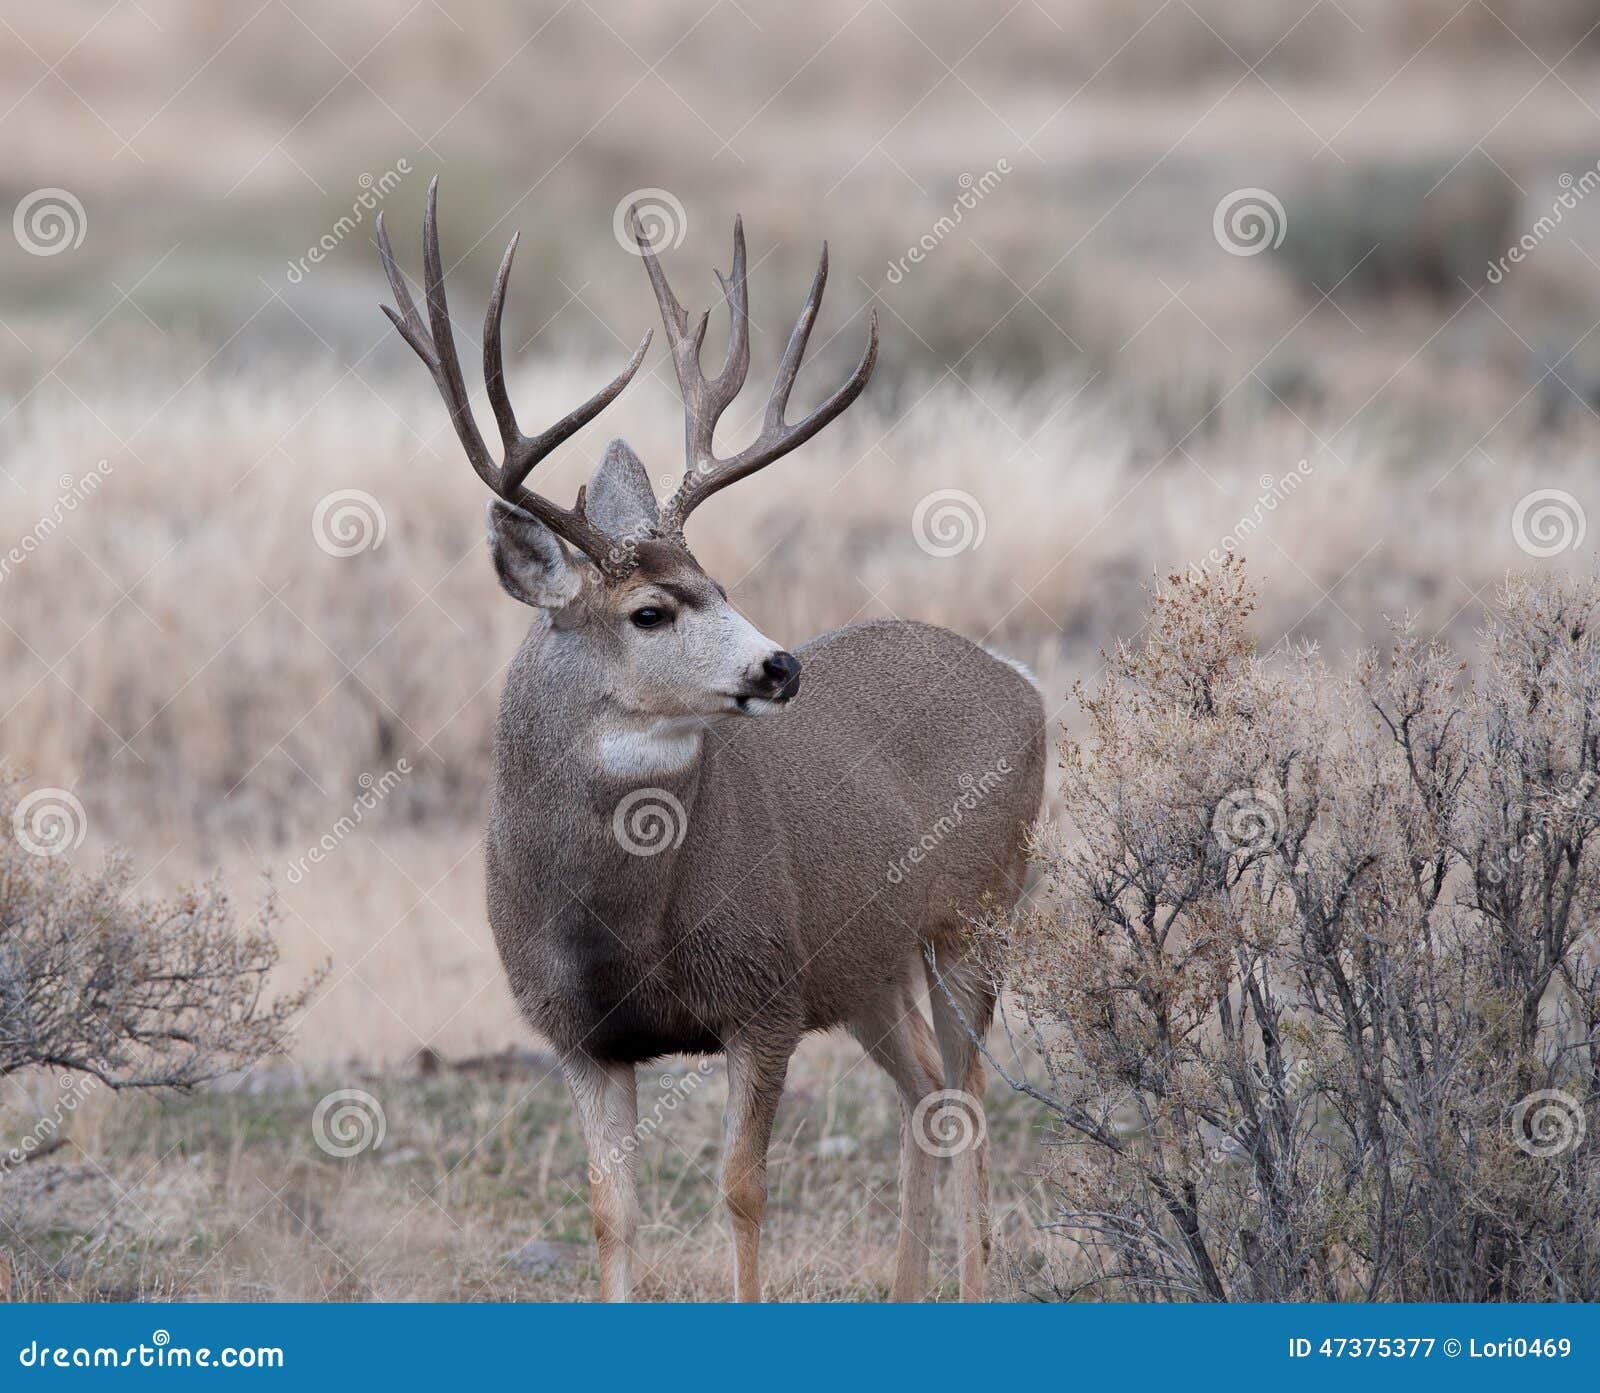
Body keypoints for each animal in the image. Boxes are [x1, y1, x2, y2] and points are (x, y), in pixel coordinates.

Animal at [377, 179, 1049, 1305]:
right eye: (650, 611)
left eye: (722, 585)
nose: (780, 667)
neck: (621, 915)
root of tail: (1024, 680)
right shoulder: (579, 1035)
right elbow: (610, 1211)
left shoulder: (764, 994)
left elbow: (740, 1188)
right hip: (866, 964)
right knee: (920, 1090)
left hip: (977, 912)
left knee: (964, 1096)